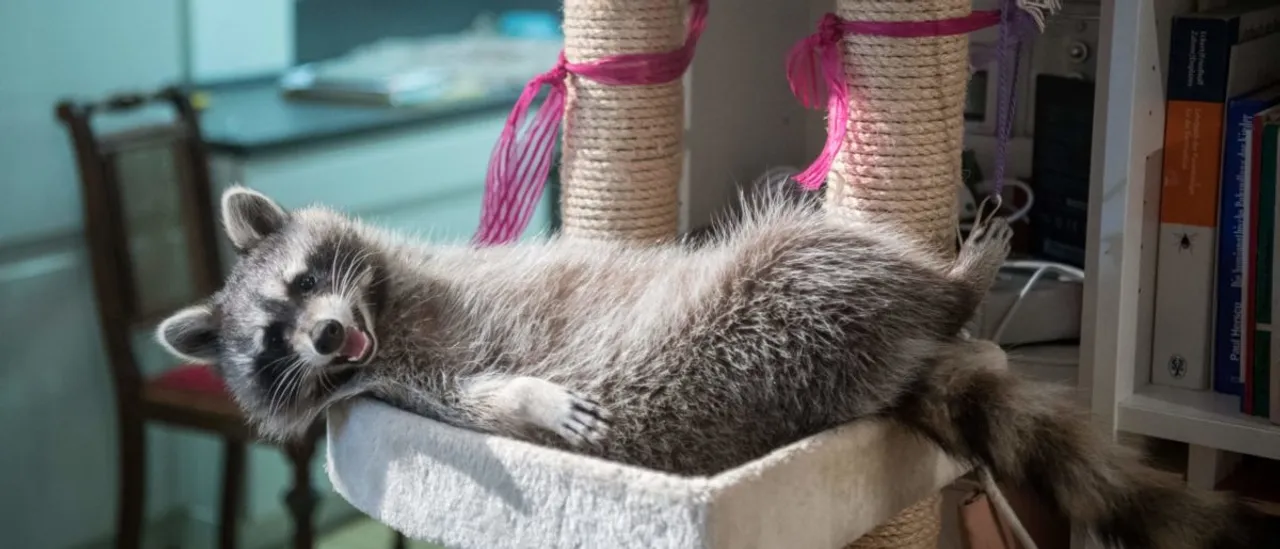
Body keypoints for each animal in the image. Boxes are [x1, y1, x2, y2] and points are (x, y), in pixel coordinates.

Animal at [158, 186, 1274, 549]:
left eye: (303, 282)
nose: (323, 340)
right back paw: (961, 281)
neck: (384, 320)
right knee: (828, 247)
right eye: (268, 339)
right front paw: (530, 395)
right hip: (782, 294)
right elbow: (490, 401)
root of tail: (887, 368)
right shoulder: (407, 390)